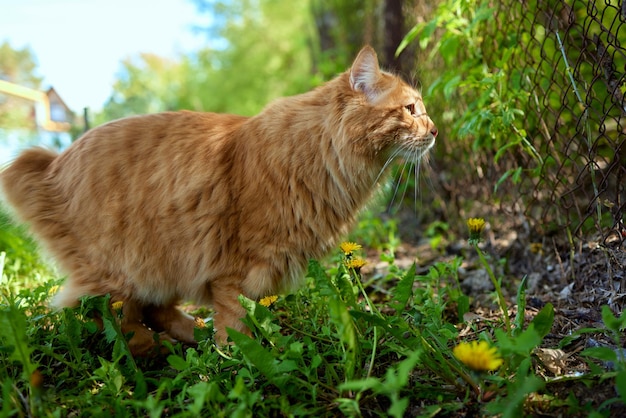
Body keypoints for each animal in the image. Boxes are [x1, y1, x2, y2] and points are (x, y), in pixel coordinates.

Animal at [1, 45, 434, 354]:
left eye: (422, 110)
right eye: (411, 109)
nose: (434, 131)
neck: (317, 151)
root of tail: (52, 163)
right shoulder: (235, 270)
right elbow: (236, 324)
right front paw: (238, 360)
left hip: (159, 267)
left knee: (153, 310)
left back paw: (193, 336)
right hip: (119, 272)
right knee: (103, 320)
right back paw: (157, 347)